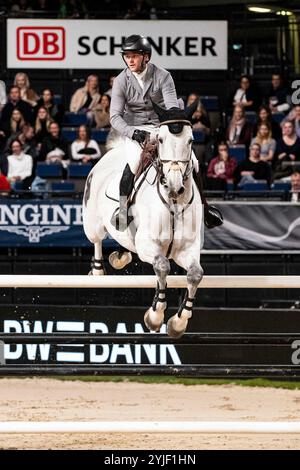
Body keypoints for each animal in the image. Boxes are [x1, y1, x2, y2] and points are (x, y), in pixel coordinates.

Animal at [82, 104, 204, 336]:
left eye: (191, 140)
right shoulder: (148, 245)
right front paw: (155, 317)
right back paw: (98, 270)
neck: (174, 202)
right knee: (97, 240)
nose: (174, 186)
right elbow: (163, 266)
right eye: (162, 140)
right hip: (92, 223)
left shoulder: (188, 248)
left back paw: (119, 256)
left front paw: (178, 323)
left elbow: (194, 274)